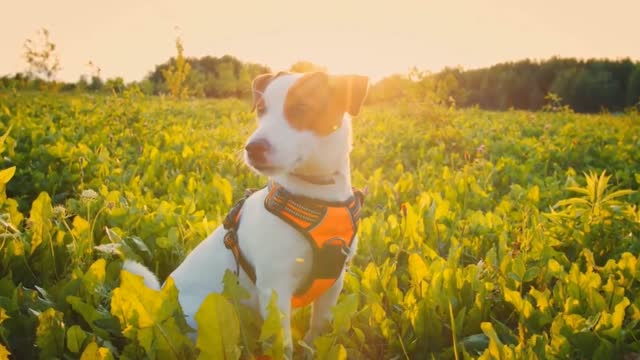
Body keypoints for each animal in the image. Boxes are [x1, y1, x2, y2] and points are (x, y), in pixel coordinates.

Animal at [124, 71, 370, 358]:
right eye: (261, 109)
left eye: (302, 108)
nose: (252, 148)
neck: (316, 195)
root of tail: (163, 296)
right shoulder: (275, 289)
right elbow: (283, 345)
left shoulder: (333, 283)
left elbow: (318, 330)